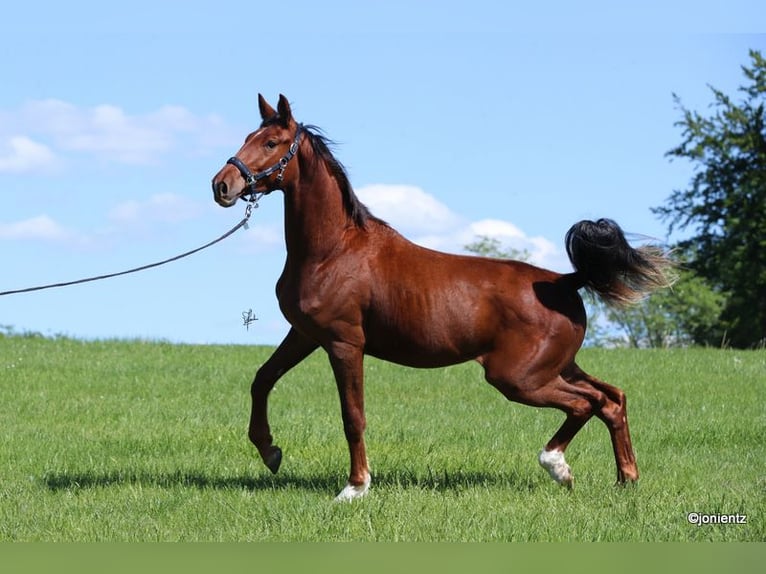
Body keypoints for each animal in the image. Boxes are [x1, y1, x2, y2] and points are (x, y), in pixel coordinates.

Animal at [211, 94, 674, 501]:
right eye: (248, 136)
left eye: (271, 143)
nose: (222, 185)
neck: (334, 250)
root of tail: (565, 280)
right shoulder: (305, 334)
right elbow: (262, 379)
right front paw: (270, 451)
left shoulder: (345, 343)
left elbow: (352, 416)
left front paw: (355, 487)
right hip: (556, 366)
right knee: (612, 399)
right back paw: (625, 479)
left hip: (518, 377)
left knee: (587, 403)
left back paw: (558, 467)